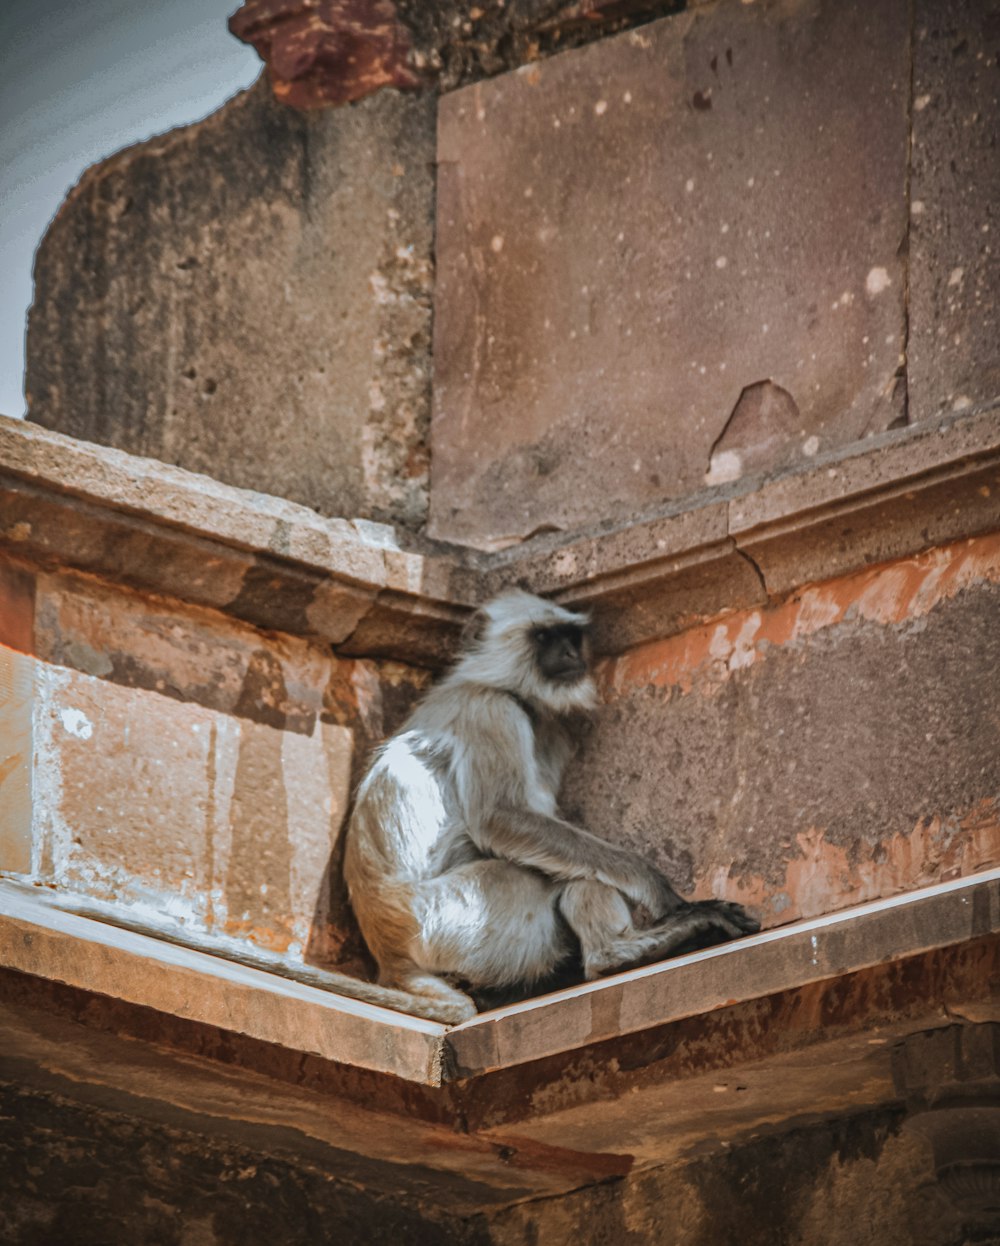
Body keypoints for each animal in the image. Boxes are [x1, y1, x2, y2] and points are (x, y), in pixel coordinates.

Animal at [343, 590, 757, 1021]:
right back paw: (618, 954)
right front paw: (659, 890)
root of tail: (391, 952)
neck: (487, 680)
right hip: (456, 917)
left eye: (571, 636)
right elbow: (500, 818)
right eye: (543, 637)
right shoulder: (490, 709)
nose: (571, 654)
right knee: (558, 873)